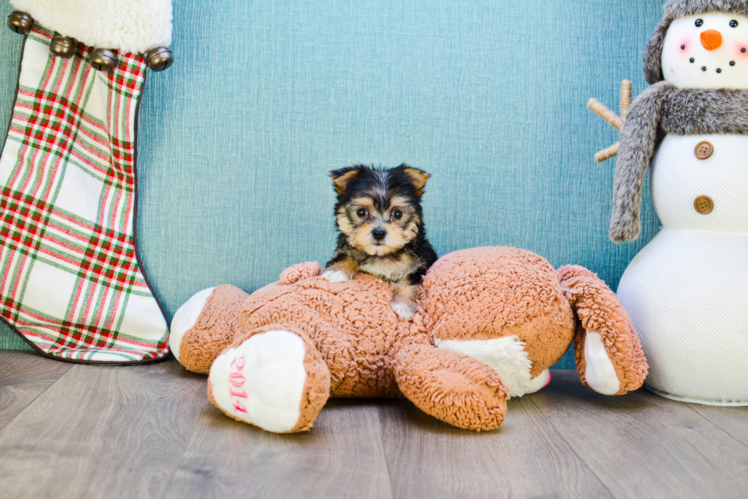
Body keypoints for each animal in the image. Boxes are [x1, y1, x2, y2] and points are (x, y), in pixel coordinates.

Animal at [322, 164, 438, 320]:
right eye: (361, 212)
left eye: (397, 214)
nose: (378, 232)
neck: (380, 254)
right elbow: (346, 254)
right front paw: (337, 271)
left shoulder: (422, 261)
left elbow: (408, 279)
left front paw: (403, 305)